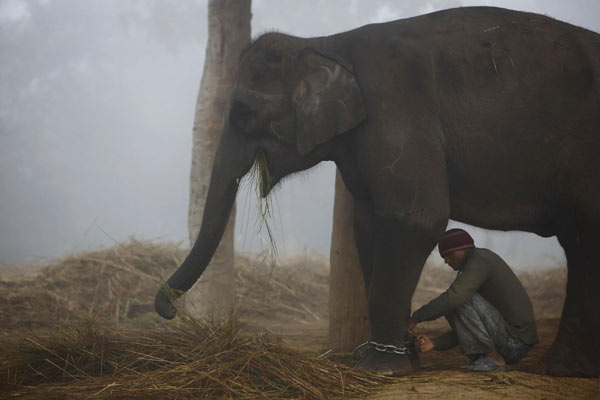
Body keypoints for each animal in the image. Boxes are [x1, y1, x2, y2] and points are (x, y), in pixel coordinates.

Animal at [156, 5, 600, 376]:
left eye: (243, 115)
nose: (169, 311)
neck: (324, 44)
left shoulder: (396, 114)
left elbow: (413, 220)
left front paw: (383, 369)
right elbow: (369, 226)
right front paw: (400, 357)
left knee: (584, 237)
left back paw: (561, 370)